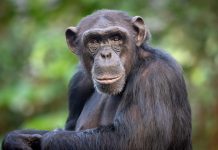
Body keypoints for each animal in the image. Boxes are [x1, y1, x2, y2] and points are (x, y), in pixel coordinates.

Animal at [2, 9, 192, 150]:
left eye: (116, 38)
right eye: (94, 41)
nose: (106, 54)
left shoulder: (155, 77)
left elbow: (130, 140)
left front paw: (47, 139)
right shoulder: (78, 83)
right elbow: (69, 128)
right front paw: (15, 139)